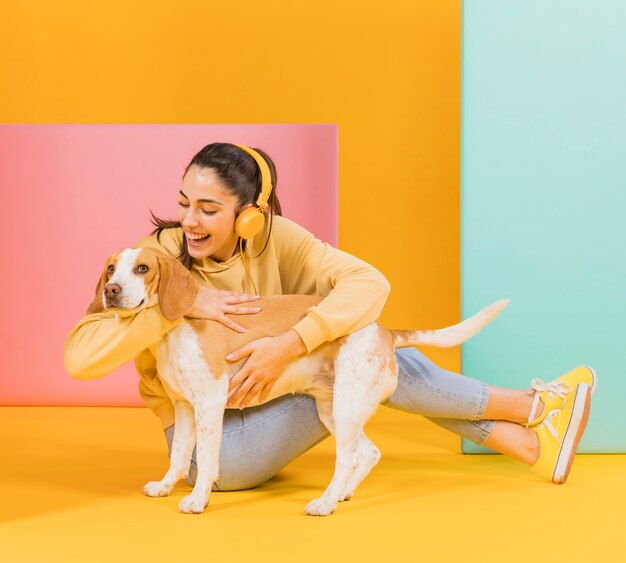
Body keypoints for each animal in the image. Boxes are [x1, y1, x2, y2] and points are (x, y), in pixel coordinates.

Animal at [86, 247, 508, 516]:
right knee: (367, 453)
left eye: (142, 269)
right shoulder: (185, 409)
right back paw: (342, 494)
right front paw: (165, 485)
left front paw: (198, 499)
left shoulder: (208, 404)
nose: (111, 290)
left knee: (346, 458)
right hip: (333, 411)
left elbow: (204, 460)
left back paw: (325, 502)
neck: (173, 330)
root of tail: (384, 330)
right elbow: (178, 457)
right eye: (111, 269)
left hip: (346, 406)